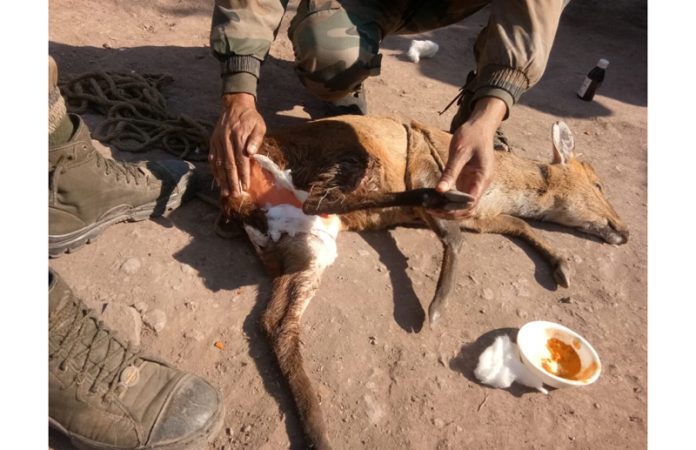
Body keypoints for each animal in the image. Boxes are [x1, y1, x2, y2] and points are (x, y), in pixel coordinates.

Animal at [219, 115, 632, 446]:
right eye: (597, 184)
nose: (624, 230)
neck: (500, 187)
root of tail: (235, 201)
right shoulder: (425, 160)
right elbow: (456, 231)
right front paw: (434, 307)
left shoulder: (480, 216)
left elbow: (517, 224)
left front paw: (560, 266)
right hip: (347, 162)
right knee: (320, 201)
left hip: (306, 246)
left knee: (274, 321)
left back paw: (317, 431)